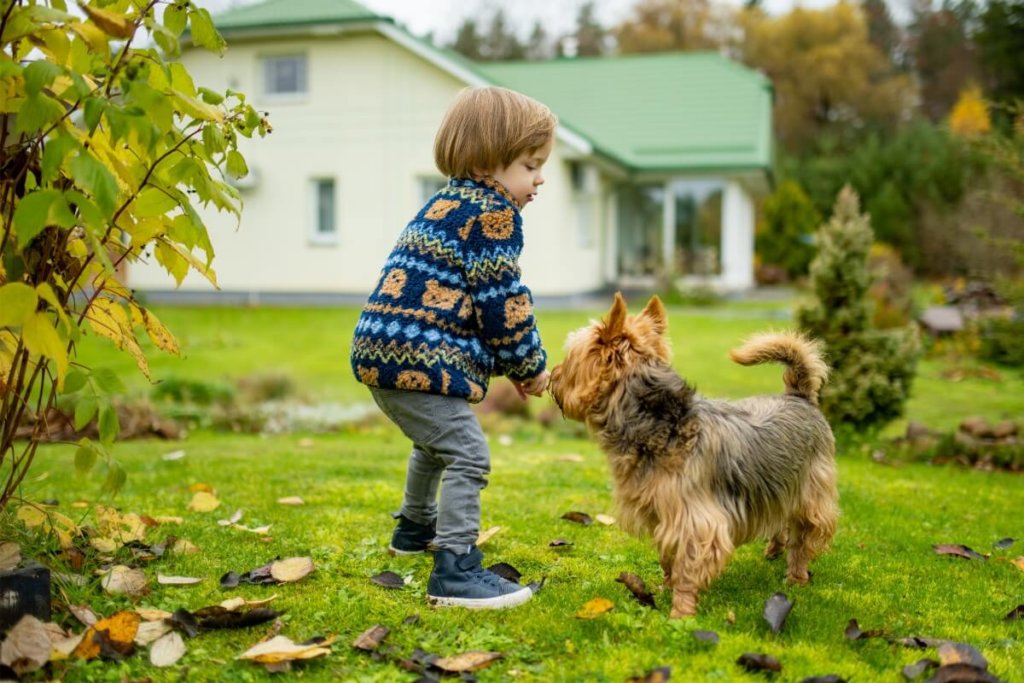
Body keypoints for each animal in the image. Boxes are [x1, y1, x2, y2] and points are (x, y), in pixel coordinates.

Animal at [548, 294, 835, 618]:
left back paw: (797, 576)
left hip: (811, 492)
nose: (552, 377)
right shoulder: (661, 513)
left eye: (570, 357)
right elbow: (667, 557)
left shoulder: (695, 521)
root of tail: (799, 396)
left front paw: (681, 612)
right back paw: (774, 549)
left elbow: (687, 566)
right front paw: (665, 588)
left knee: (804, 538)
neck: (662, 426)